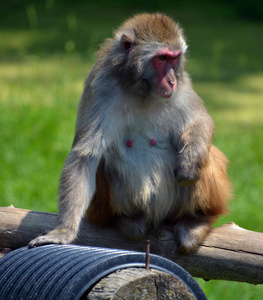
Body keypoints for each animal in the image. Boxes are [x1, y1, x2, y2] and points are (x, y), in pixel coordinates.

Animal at [27, 13, 232, 253]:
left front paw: (189, 163)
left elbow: (201, 121)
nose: (171, 80)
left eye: (175, 58)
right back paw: (127, 219)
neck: (141, 89)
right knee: (102, 162)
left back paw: (197, 220)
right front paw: (63, 231)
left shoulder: (183, 84)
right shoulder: (101, 86)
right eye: (162, 58)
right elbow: (85, 156)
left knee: (208, 154)